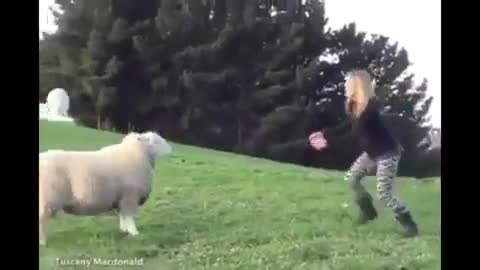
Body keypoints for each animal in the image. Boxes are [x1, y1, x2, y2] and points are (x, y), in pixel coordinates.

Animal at [38, 132, 172, 246]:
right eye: (155, 141)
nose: (171, 149)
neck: (137, 153)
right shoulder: (130, 197)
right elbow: (129, 217)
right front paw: (134, 233)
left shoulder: (122, 198)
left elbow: (123, 216)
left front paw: (124, 230)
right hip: (48, 198)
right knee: (41, 220)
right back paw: (43, 242)